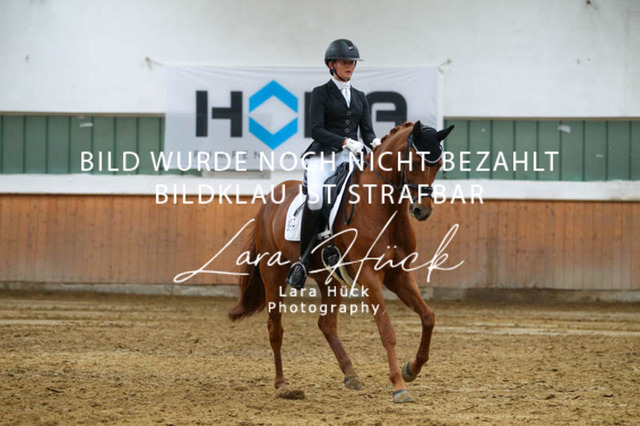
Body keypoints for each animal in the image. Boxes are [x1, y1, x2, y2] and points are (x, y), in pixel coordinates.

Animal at [228, 121, 454, 403]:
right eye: (412, 161)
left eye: (439, 164)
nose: (422, 211)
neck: (381, 208)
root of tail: (268, 200)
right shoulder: (370, 276)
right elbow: (386, 331)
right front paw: (399, 386)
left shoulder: (399, 275)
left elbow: (428, 317)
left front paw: (411, 369)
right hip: (274, 275)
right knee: (275, 327)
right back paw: (282, 385)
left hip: (330, 280)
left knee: (326, 324)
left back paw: (351, 374)